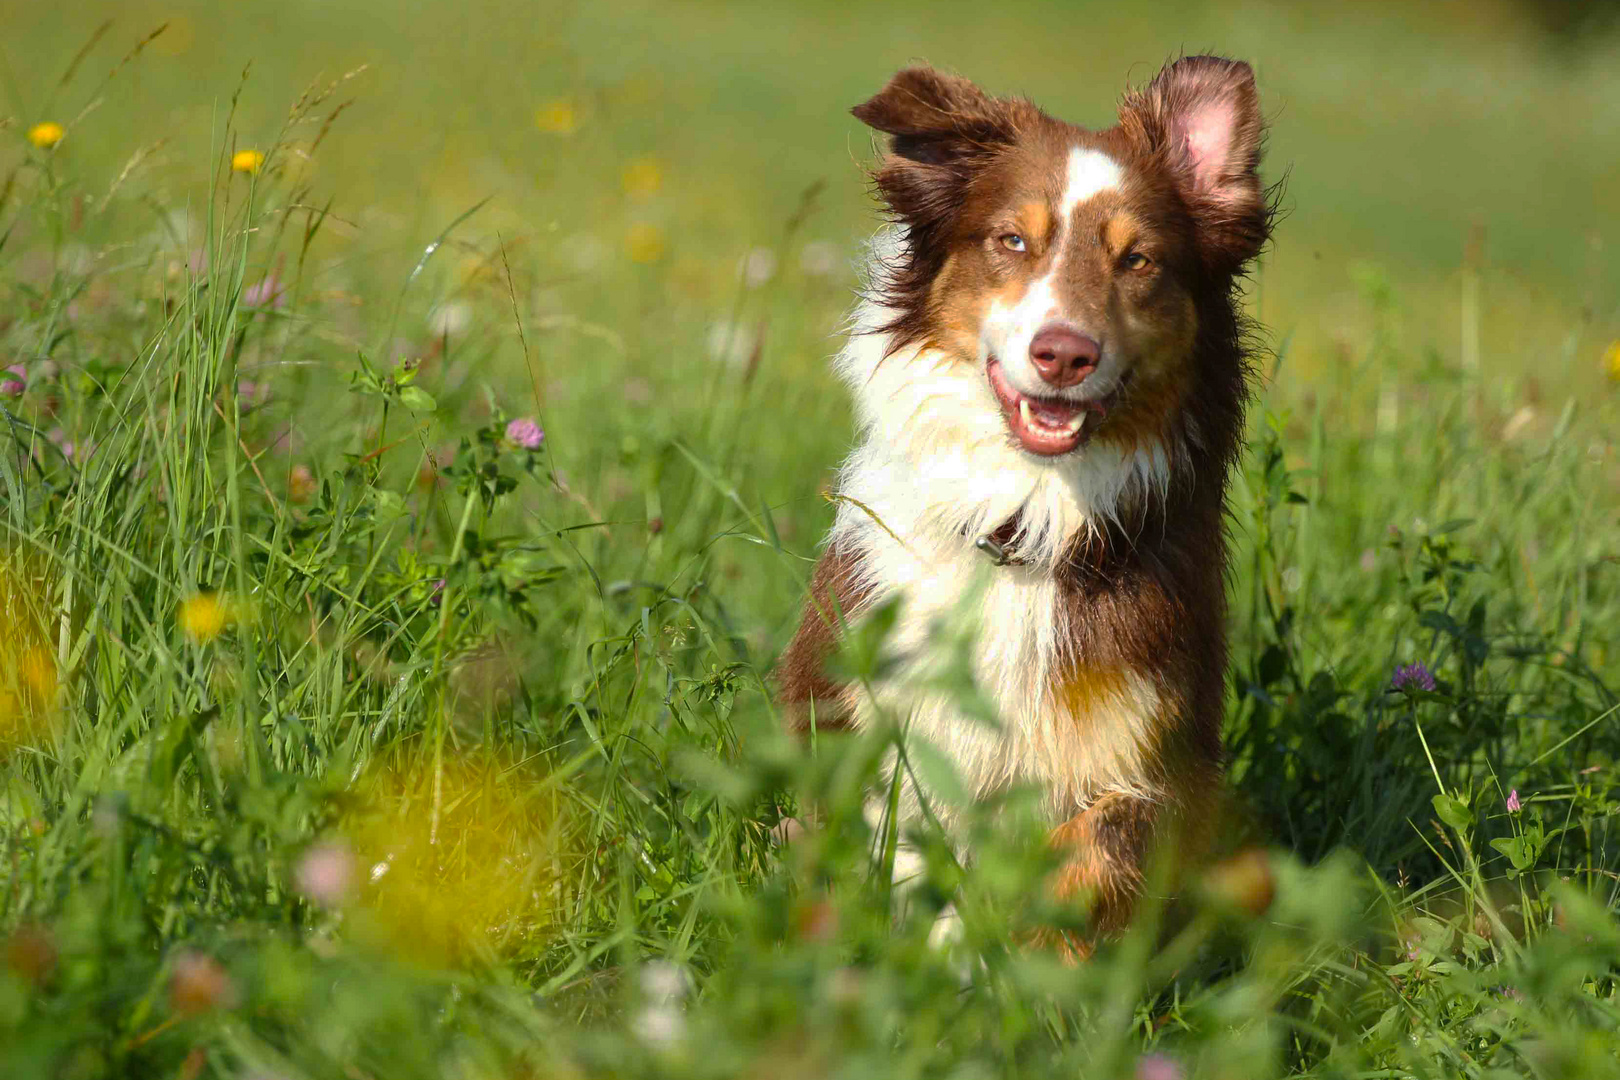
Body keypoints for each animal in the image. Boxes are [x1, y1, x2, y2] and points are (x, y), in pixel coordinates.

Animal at [774, 55, 1276, 952]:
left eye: (1138, 260)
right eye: (1012, 241)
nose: (1064, 354)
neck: (1023, 524)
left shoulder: (1148, 748)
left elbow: (1089, 857)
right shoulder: (867, 713)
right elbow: (896, 858)